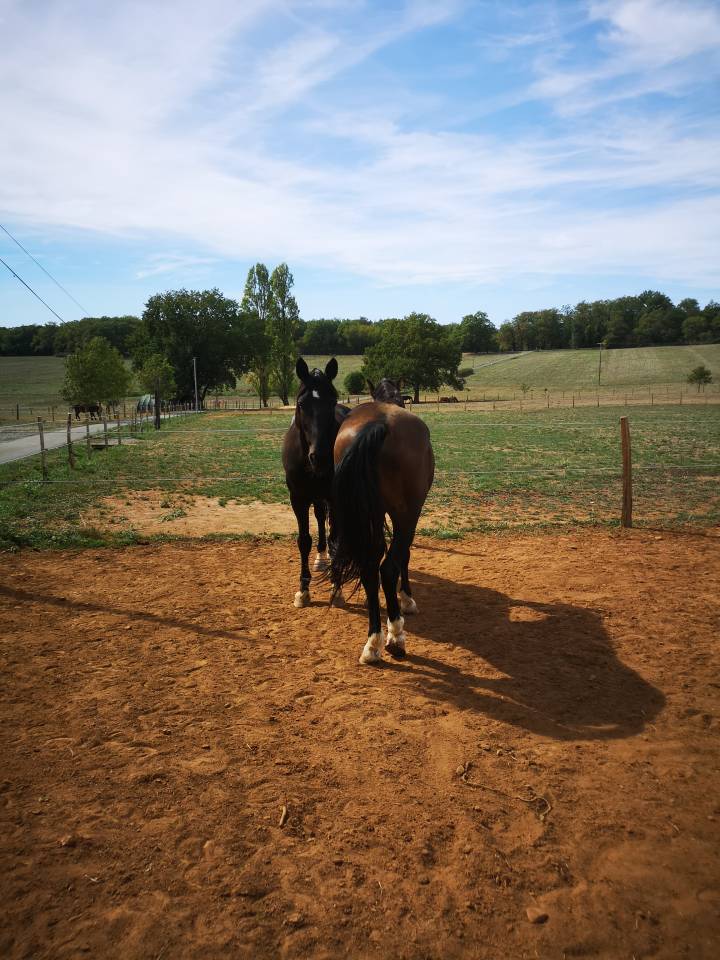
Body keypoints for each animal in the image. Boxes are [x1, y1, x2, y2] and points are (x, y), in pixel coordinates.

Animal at [282, 357, 350, 608]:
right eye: (302, 403)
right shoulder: (298, 498)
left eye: (332, 401)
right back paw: (321, 558)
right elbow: (304, 540)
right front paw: (303, 590)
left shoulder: (335, 497)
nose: (319, 457)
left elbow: (335, 538)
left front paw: (336, 586)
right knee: (321, 517)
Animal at [329, 397, 434, 665]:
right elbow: (404, 556)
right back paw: (395, 636)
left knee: (369, 568)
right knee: (387, 568)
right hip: (407, 513)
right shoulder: (404, 517)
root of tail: (379, 424)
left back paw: (372, 643)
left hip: (369, 513)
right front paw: (406, 600)